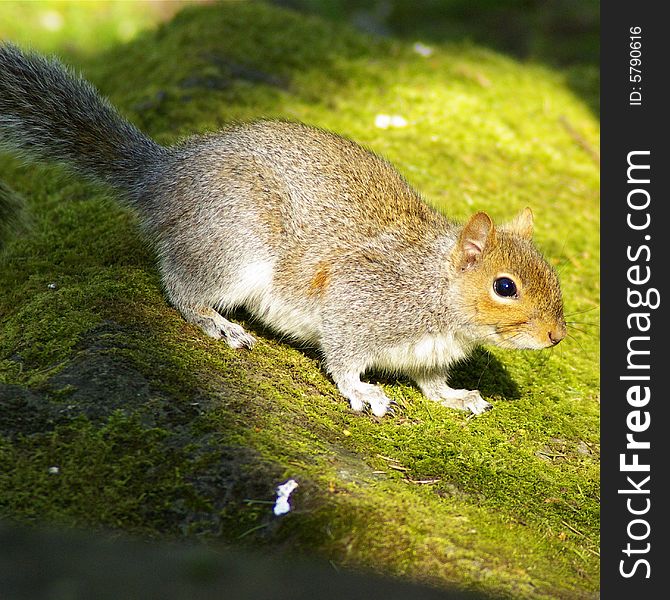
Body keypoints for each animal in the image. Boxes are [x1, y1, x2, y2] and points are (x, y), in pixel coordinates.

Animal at [0, 44, 568, 418]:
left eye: (554, 276)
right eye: (504, 287)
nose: (557, 336)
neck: (435, 288)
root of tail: (162, 177)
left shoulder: (425, 352)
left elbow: (430, 381)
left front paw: (453, 395)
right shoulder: (360, 301)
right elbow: (343, 356)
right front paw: (362, 391)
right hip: (237, 243)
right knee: (181, 285)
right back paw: (217, 322)